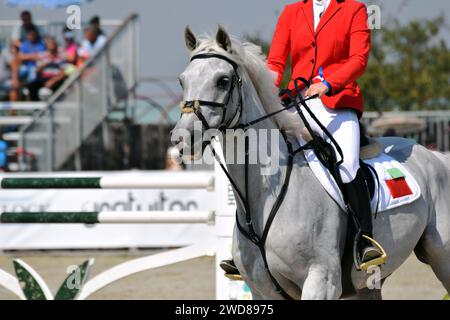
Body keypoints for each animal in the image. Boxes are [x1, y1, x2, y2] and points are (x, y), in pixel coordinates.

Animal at [173, 26, 450, 298]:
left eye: (222, 80)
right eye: (182, 80)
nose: (182, 138)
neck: (265, 195)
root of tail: (436, 156)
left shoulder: (321, 280)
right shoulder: (262, 290)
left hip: (442, 257)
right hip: (369, 282)